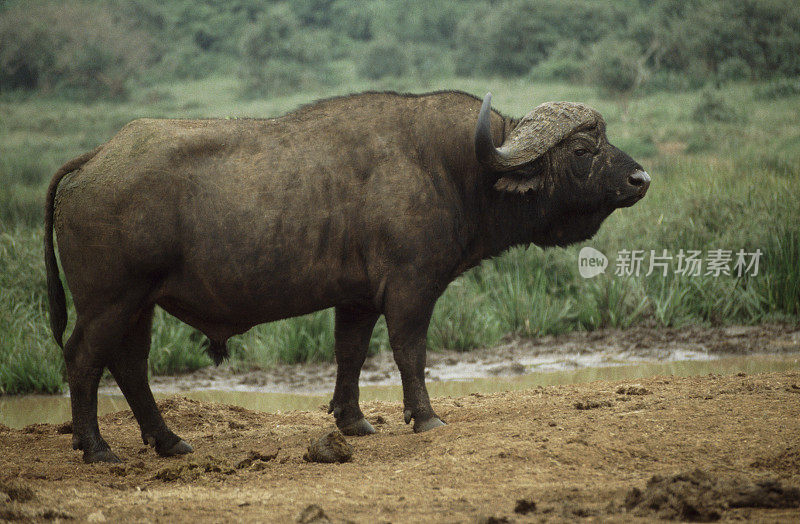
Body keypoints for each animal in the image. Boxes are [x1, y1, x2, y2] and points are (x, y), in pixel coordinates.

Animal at [45, 91, 648, 462]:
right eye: (582, 149)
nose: (641, 178)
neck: (455, 169)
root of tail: (95, 159)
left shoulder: (356, 299)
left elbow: (351, 354)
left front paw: (352, 422)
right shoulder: (411, 288)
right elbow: (409, 352)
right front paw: (425, 418)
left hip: (140, 305)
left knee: (129, 366)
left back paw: (169, 441)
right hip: (110, 301)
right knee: (84, 359)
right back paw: (96, 448)